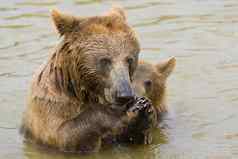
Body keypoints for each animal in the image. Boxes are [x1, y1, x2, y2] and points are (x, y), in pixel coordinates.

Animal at [20, 7, 155, 153]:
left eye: (129, 59)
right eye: (105, 60)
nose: (124, 95)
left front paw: (144, 108)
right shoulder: (49, 107)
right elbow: (64, 134)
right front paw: (126, 110)